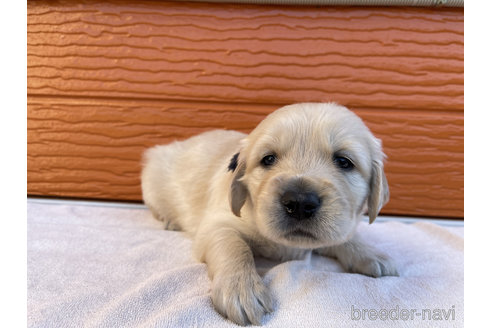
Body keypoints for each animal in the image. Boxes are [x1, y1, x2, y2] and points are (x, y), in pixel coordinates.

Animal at [140, 102, 398, 326]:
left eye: (344, 161)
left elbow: (346, 236)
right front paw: (241, 289)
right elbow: (234, 246)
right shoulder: (219, 222)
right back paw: (171, 220)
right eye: (269, 159)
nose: (300, 202)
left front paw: (371, 253)